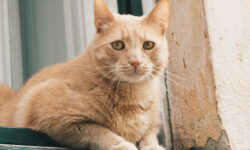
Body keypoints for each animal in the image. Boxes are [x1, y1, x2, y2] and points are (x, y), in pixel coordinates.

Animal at [0, 0, 170, 149]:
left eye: (148, 45)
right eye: (117, 45)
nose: (135, 62)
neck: (135, 94)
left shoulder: (154, 124)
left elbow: (149, 135)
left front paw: (152, 146)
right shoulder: (50, 112)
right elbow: (99, 131)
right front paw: (122, 145)